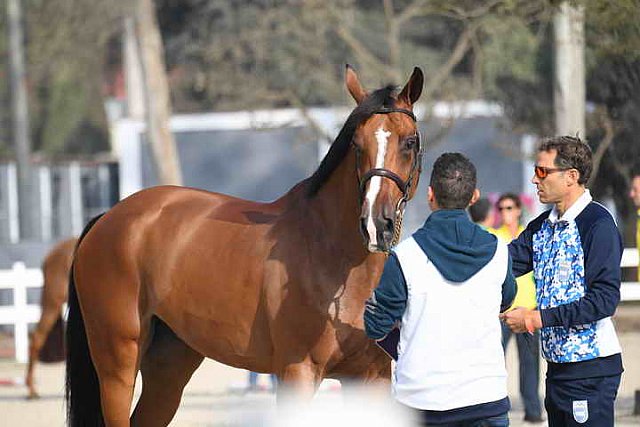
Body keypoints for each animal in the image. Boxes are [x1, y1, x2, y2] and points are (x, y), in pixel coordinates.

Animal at [65, 65, 424, 426]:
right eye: (356, 144)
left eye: (410, 142)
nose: (375, 224)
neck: (332, 257)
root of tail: (110, 217)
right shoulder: (297, 373)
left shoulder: (371, 378)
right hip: (118, 362)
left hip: (170, 366)